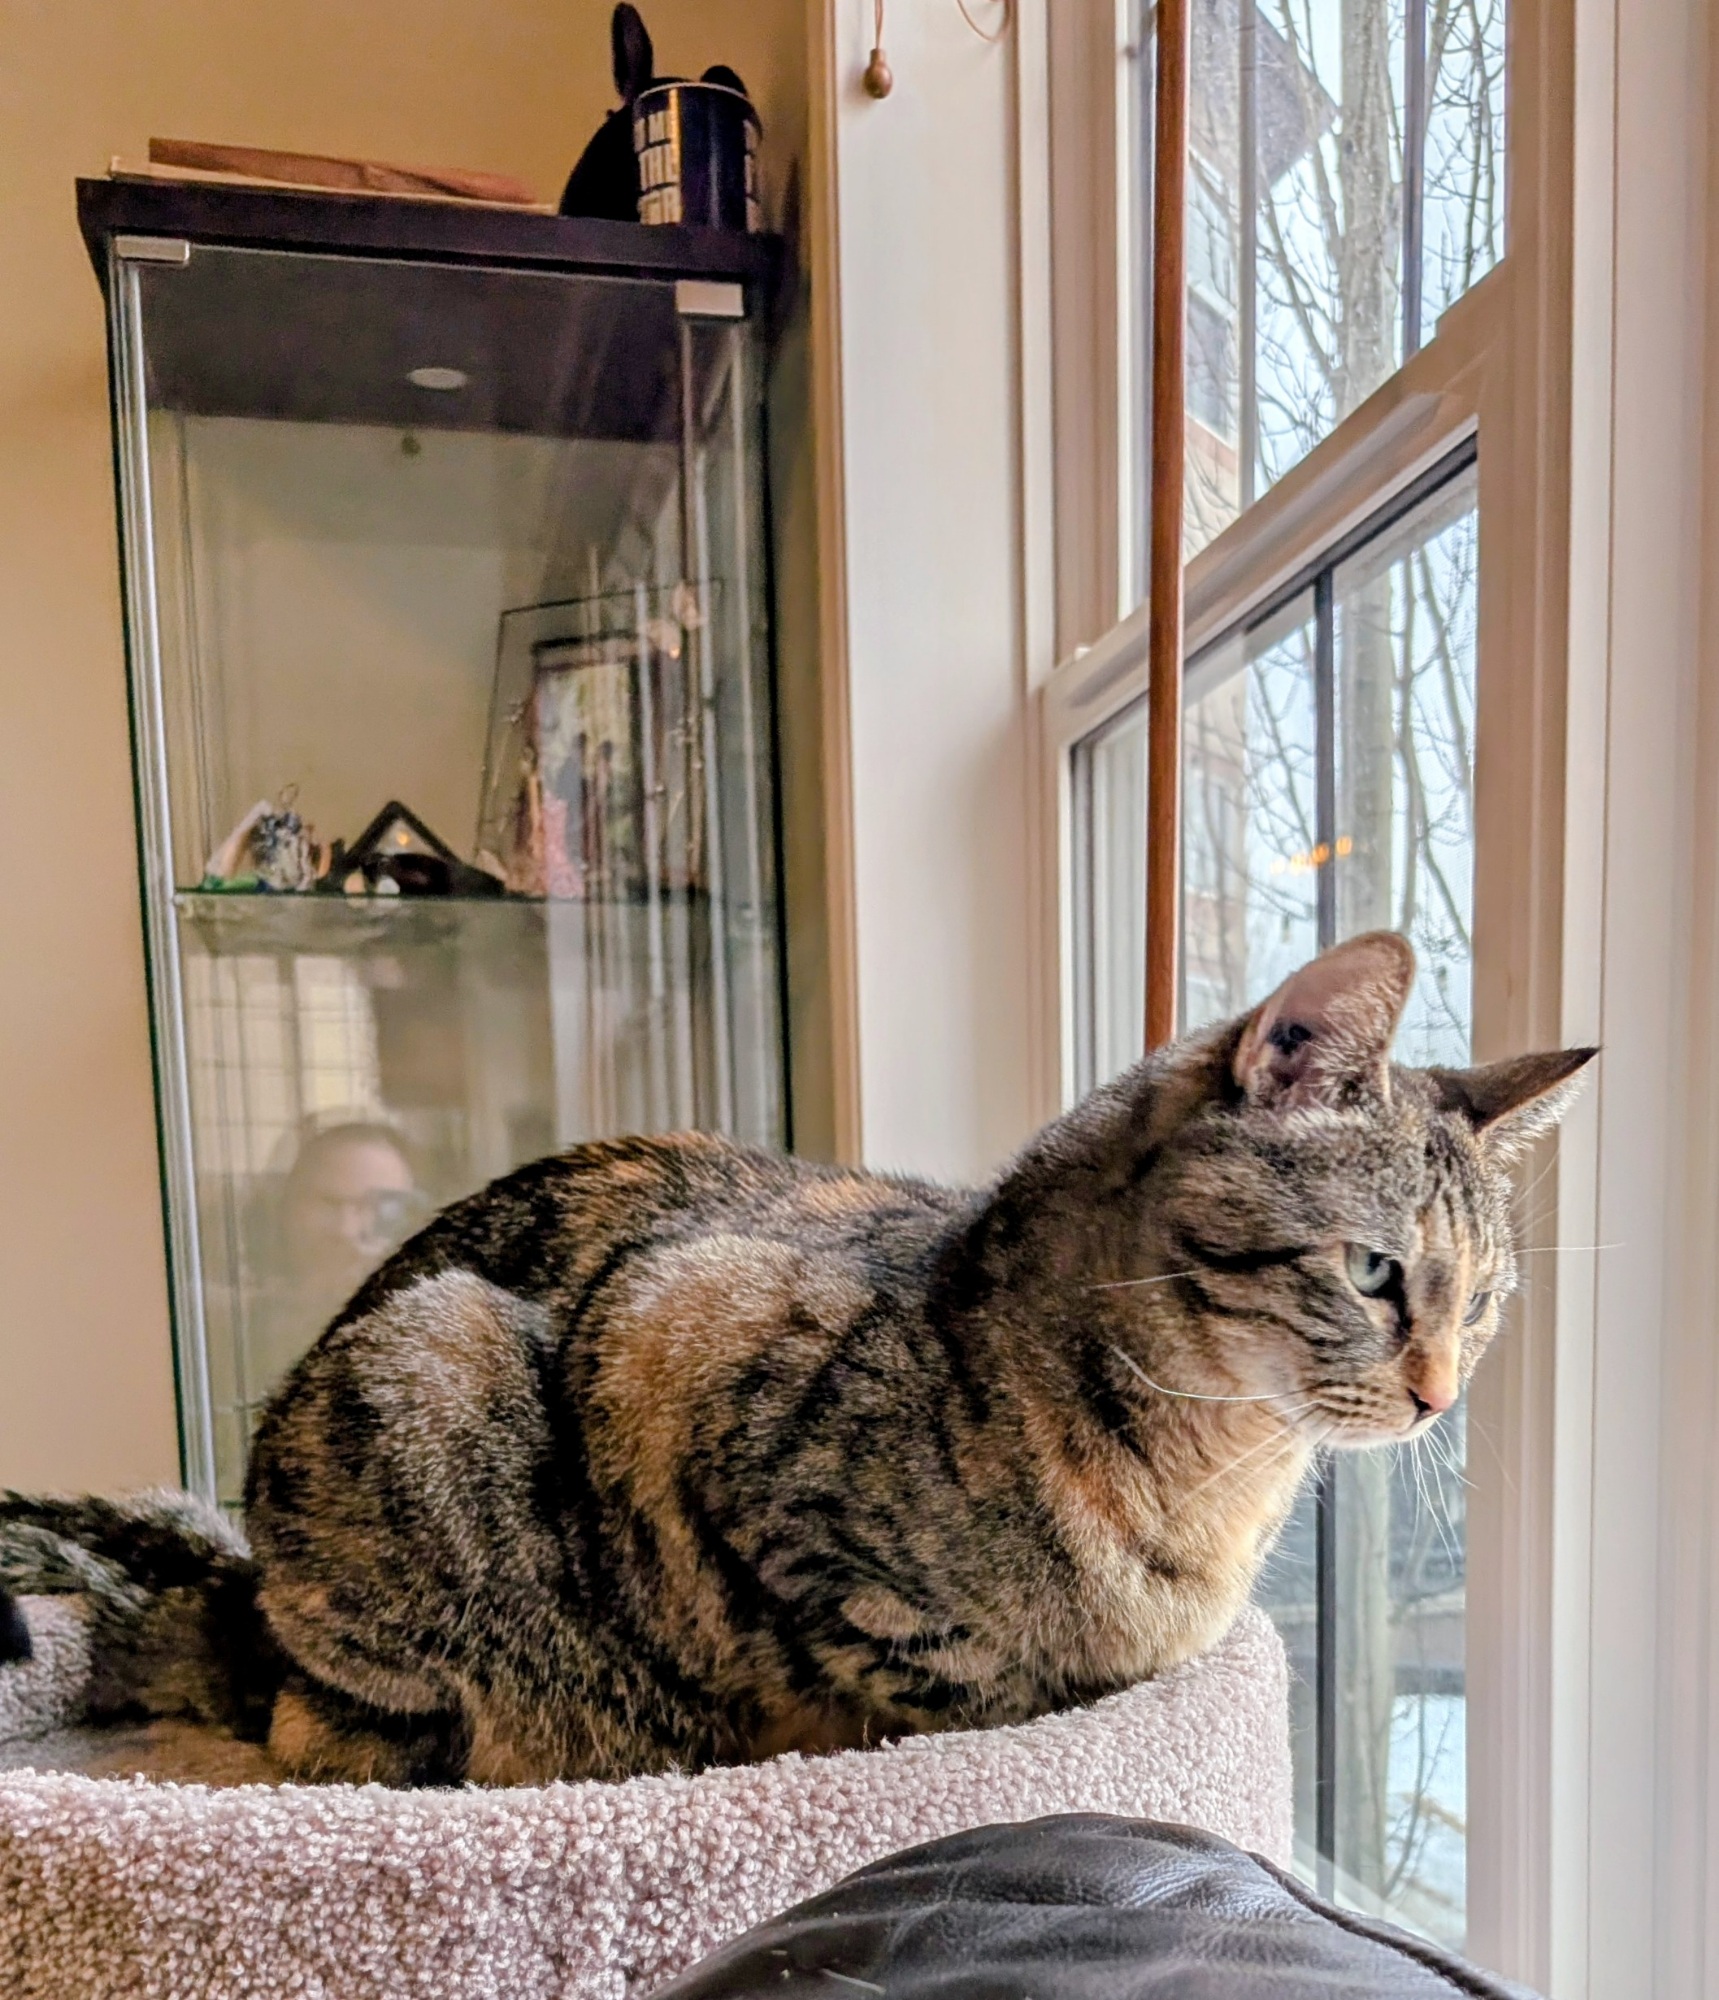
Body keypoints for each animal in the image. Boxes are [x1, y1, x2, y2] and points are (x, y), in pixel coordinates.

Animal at [0, 932, 1592, 1785]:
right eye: (1374, 1273)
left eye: (1485, 1304)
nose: (1441, 1391)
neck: (1211, 1482)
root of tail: (238, 1597)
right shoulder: (687, 1367)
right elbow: (927, 1677)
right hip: (426, 1372)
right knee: (333, 1726)